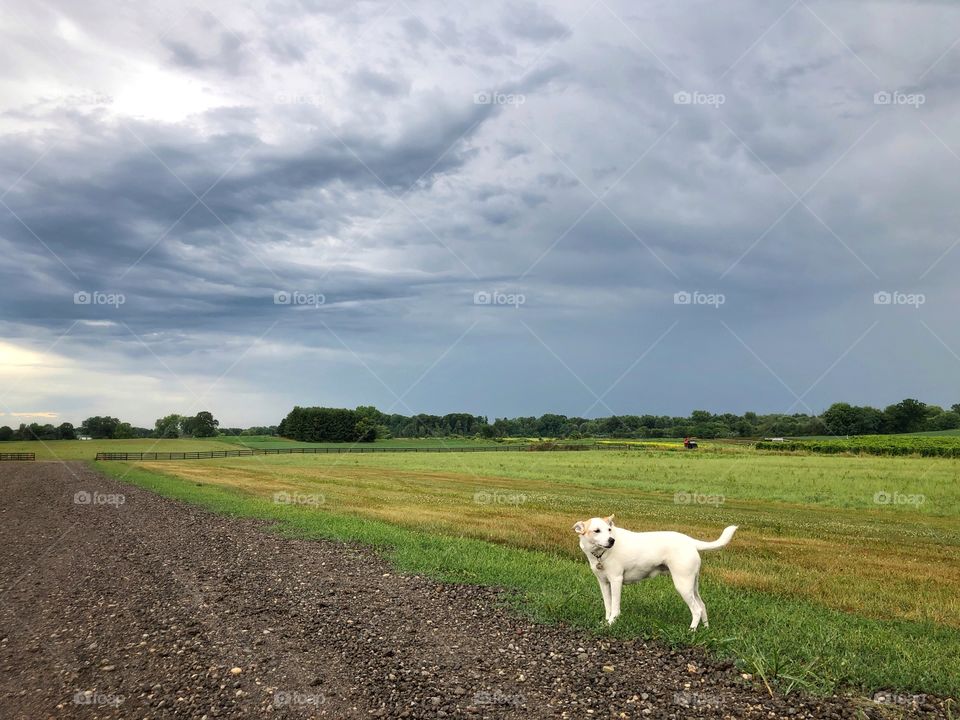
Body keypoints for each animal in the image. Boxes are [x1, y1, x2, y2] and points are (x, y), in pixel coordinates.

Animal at [572, 516, 740, 628]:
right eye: (596, 531)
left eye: (609, 530)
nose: (611, 540)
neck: (600, 554)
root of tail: (690, 541)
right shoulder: (603, 583)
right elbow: (608, 605)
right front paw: (606, 622)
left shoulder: (616, 581)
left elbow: (615, 606)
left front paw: (612, 622)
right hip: (692, 585)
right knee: (703, 606)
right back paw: (705, 629)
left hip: (683, 585)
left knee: (697, 609)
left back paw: (691, 631)